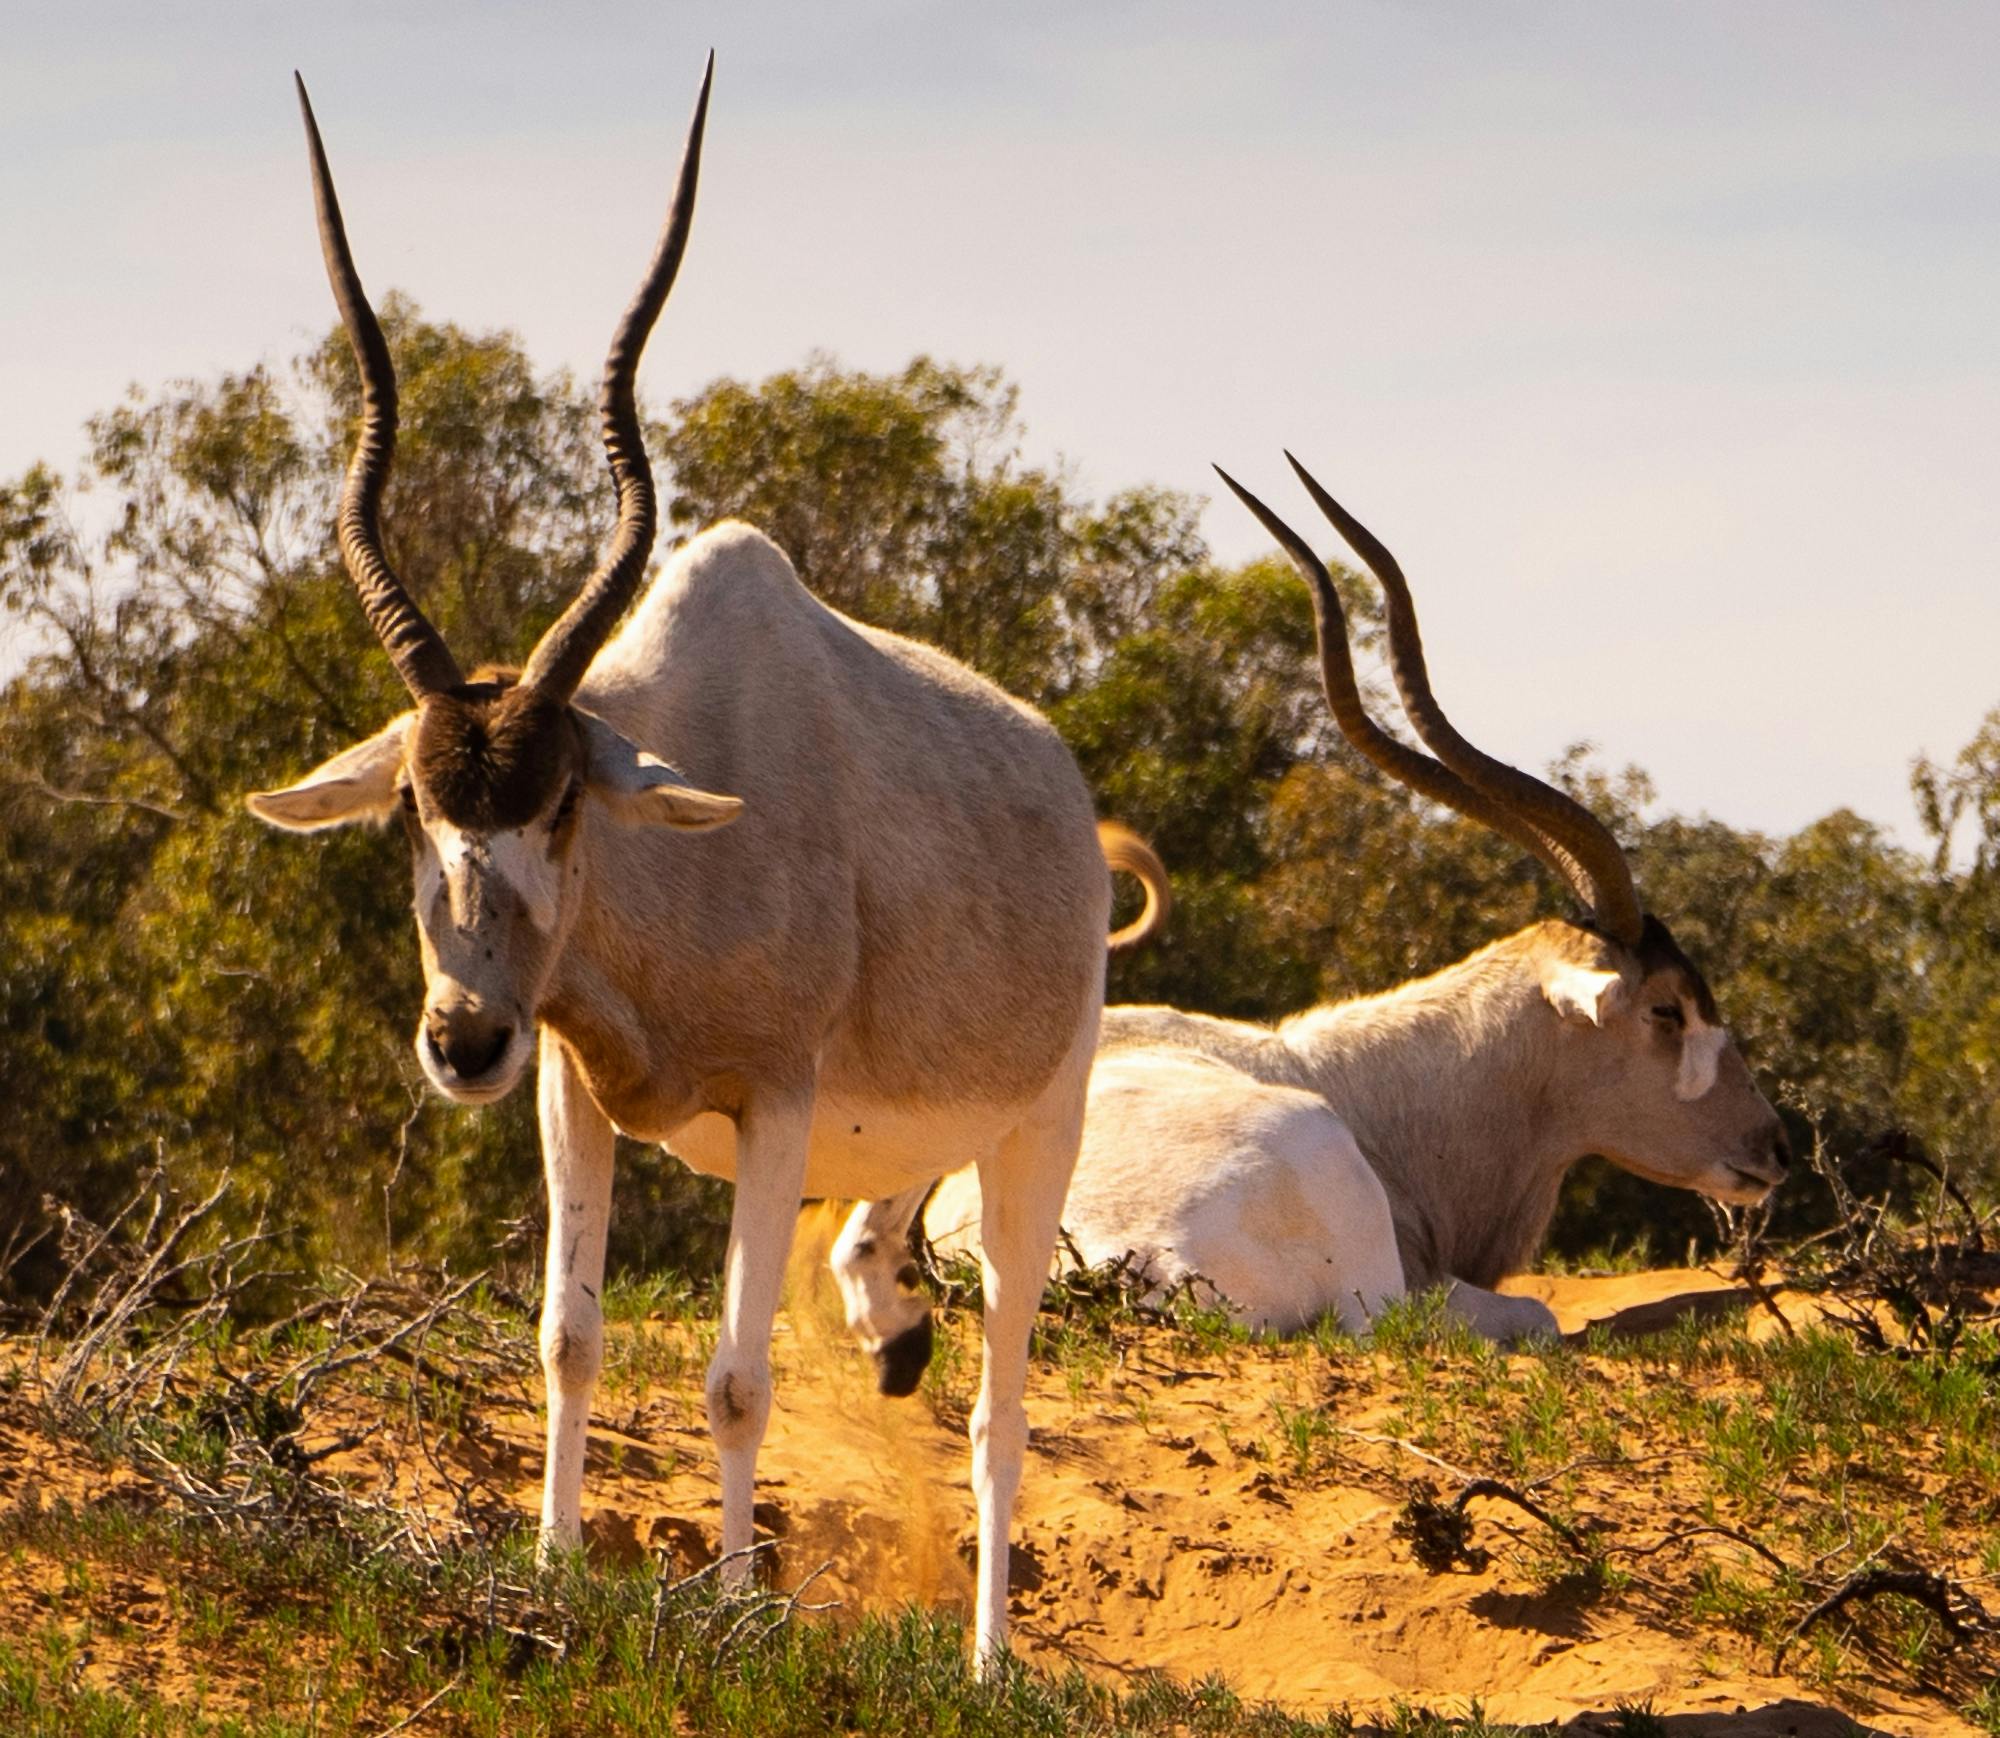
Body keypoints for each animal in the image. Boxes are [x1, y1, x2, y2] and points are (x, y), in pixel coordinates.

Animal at [250, 64, 1160, 1672]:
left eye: (562, 806)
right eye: (414, 803)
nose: (461, 1040)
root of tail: (1062, 792)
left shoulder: (776, 1101)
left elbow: (737, 1381)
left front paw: (738, 1615)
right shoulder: (570, 1087)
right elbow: (568, 1336)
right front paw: (551, 1570)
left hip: (1032, 1137)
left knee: (999, 1409)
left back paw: (989, 1657)